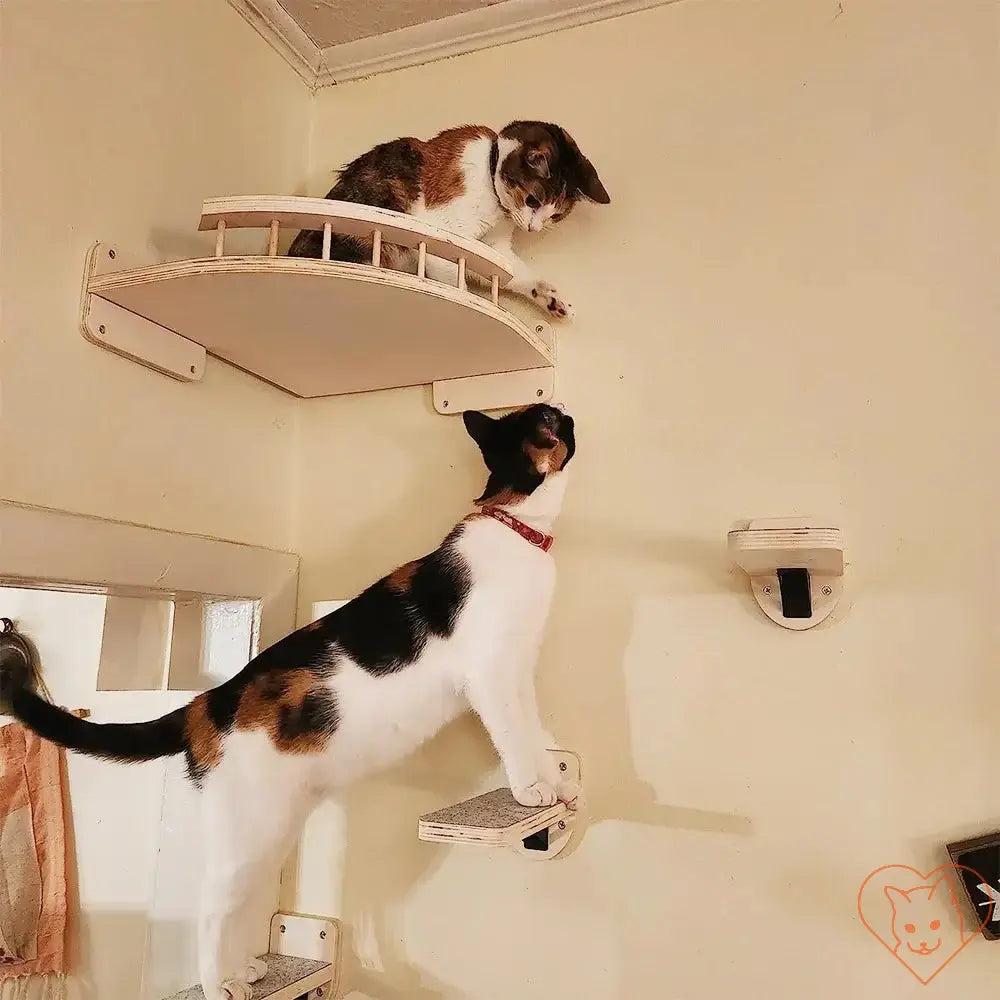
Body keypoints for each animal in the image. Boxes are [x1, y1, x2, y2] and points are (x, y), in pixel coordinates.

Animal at [0, 402, 580, 996]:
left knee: (236, 903)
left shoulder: (519, 669)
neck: (518, 528)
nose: (567, 413)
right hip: (249, 829)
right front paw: (532, 791)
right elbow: (513, 735)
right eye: (547, 421)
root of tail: (204, 702)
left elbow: (534, 730)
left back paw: (244, 968)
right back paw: (218, 984)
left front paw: (555, 782)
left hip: (271, 828)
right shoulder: (490, 672)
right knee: (210, 907)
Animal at [286, 120, 604, 320]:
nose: (533, 228)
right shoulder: (445, 233)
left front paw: (553, 299)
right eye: (533, 201)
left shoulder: (493, 249)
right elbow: (456, 278)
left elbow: (513, 273)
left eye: (556, 215)